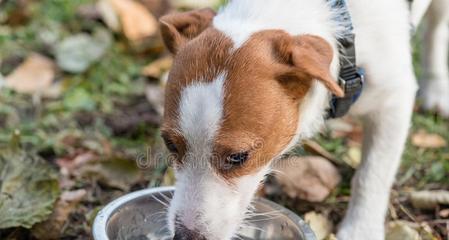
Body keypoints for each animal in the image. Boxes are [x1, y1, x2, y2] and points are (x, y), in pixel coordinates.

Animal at [158, 0, 448, 239]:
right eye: (170, 144)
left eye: (238, 157)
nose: (185, 237)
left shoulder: (394, 101)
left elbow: (371, 175)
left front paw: (360, 229)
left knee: (436, 25)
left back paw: (436, 86)